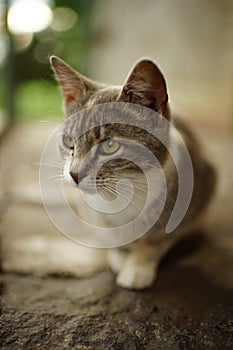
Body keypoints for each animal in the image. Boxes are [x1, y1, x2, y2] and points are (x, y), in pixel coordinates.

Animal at [49, 55, 217, 290]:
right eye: (68, 141)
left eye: (109, 146)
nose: (74, 174)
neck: (122, 193)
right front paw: (120, 256)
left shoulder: (200, 182)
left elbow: (160, 238)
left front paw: (138, 267)